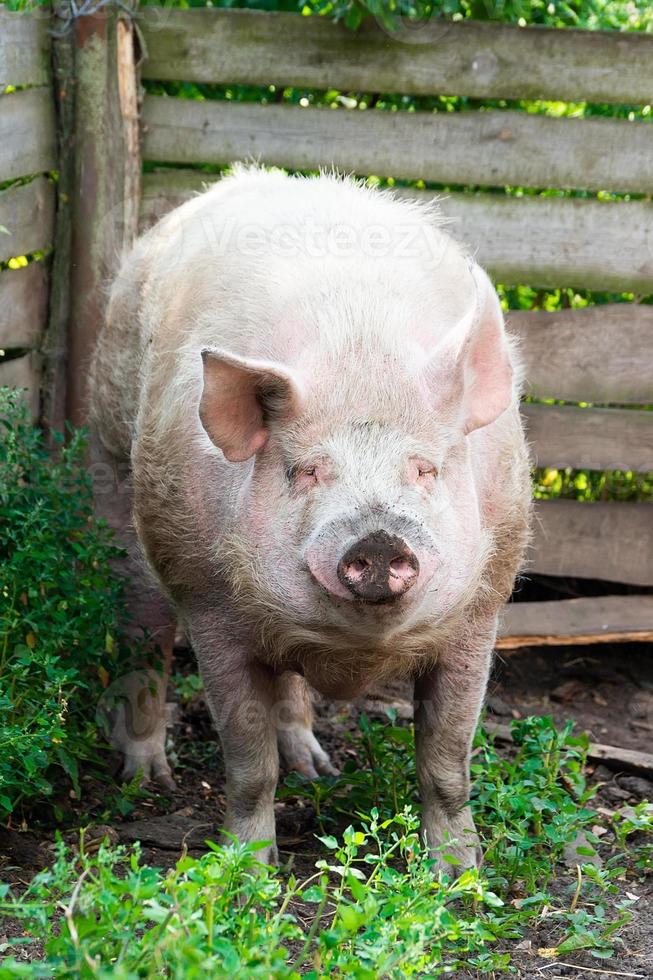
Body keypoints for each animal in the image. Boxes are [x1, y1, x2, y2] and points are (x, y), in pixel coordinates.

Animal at [90, 168, 528, 872]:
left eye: (426, 469)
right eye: (305, 471)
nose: (378, 537)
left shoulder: (480, 612)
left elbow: (447, 762)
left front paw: (462, 877)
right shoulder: (212, 609)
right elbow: (248, 761)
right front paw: (249, 870)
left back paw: (316, 769)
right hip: (111, 459)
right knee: (146, 633)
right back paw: (146, 777)